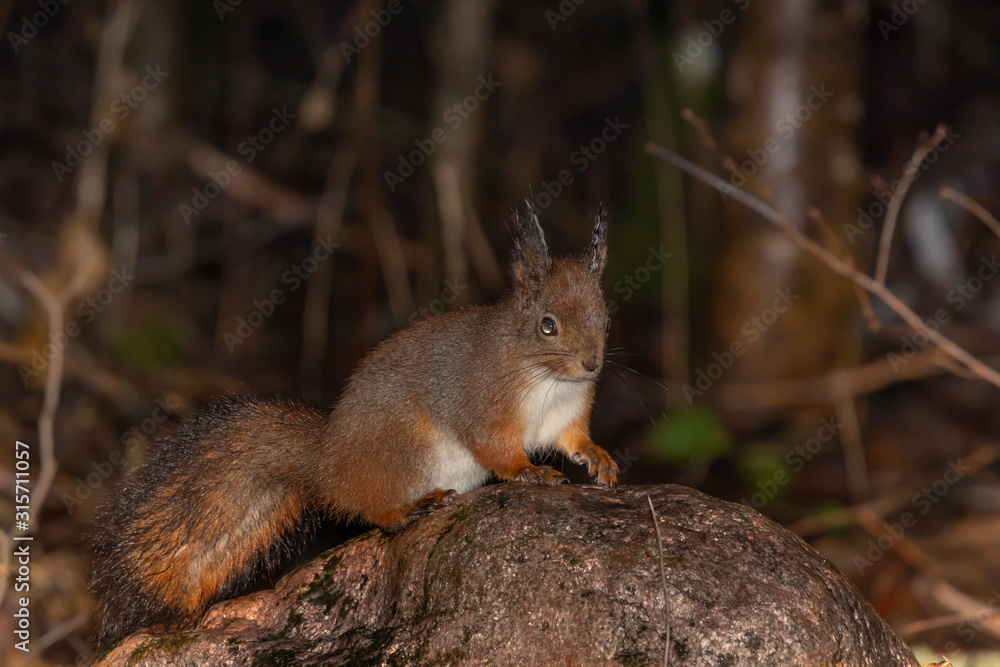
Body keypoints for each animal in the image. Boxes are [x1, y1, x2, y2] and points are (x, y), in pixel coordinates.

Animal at [89, 206, 619, 643]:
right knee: (372, 509)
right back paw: (409, 508)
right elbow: (495, 448)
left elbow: (573, 439)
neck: (548, 379)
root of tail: (325, 465)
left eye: (607, 318)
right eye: (548, 325)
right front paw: (530, 471)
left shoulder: (566, 417)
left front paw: (600, 460)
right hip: (404, 447)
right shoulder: (482, 401)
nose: (592, 365)